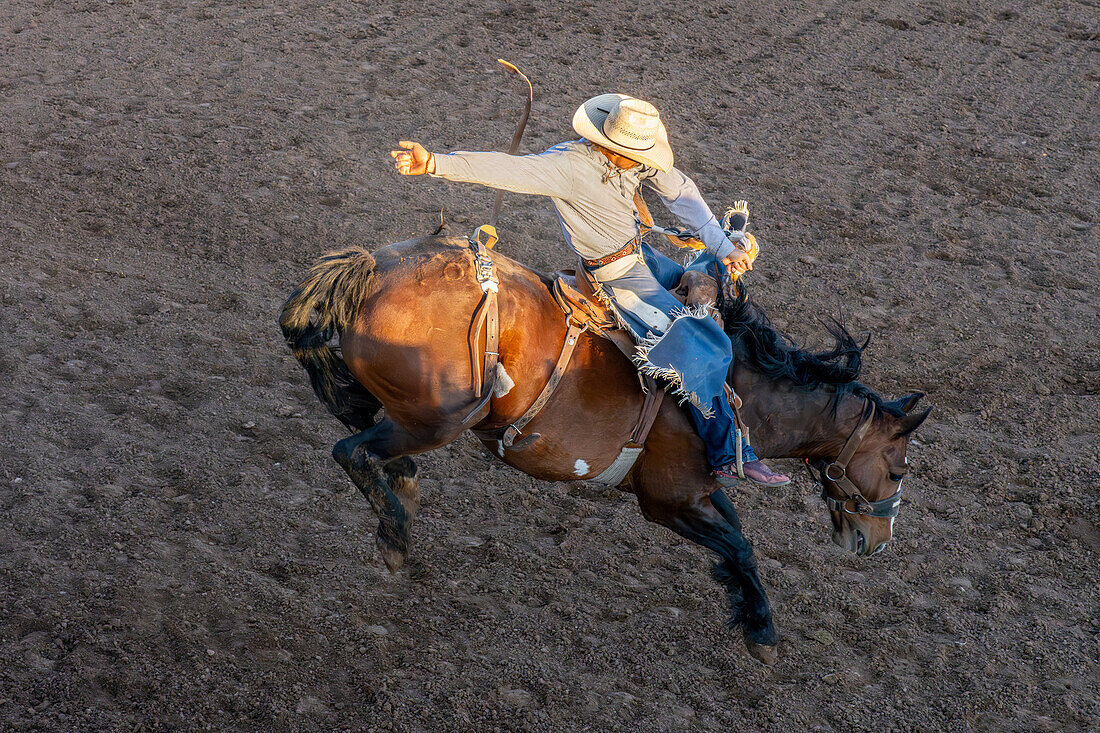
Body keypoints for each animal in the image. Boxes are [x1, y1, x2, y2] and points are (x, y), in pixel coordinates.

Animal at [277, 234, 928, 660]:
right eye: (898, 472)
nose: (876, 542)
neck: (736, 391)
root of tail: (371, 268)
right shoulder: (666, 502)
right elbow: (741, 545)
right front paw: (762, 633)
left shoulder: (696, 492)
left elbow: (738, 538)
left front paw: (748, 611)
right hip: (438, 419)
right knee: (352, 452)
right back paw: (394, 538)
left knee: (371, 447)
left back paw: (402, 492)